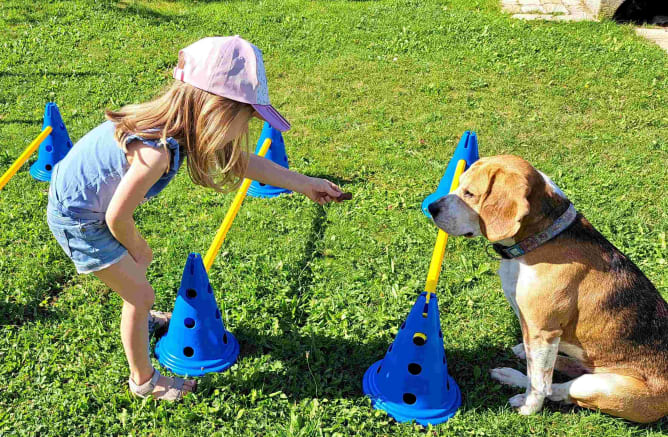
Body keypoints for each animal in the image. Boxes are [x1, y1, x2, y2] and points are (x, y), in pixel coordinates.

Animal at [428, 154, 668, 422]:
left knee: (558, 389)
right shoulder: (531, 326)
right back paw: (514, 368)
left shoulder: (542, 331)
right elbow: (538, 372)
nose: (431, 207)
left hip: (598, 386)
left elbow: (540, 383)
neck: (541, 239)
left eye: (470, 193)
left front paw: (529, 407)